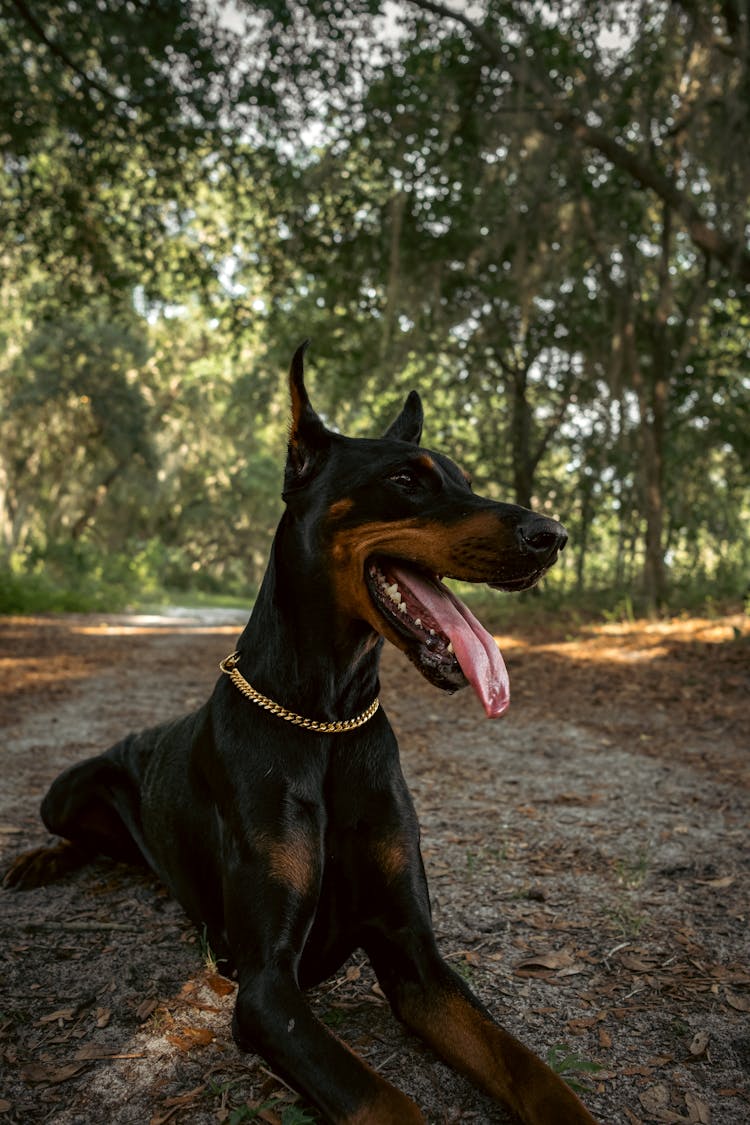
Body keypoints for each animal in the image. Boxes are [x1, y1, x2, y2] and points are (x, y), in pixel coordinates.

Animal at [2, 344, 593, 1125]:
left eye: (465, 480)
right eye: (406, 479)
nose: (552, 535)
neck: (325, 718)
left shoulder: (416, 957)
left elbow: (531, 1071)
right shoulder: (266, 986)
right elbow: (384, 1103)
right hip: (66, 787)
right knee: (70, 832)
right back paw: (37, 860)